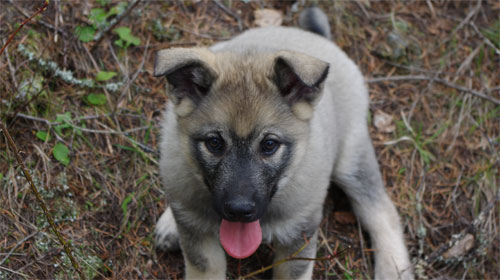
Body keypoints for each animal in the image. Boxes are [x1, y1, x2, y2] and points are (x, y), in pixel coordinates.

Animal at [154, 6, 412, 280]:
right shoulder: (198, 236)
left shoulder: (298, 237)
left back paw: (393, 268)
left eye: (269, 145)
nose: (239, 210)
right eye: (214, 143)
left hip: (351, 161)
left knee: (381, 210)